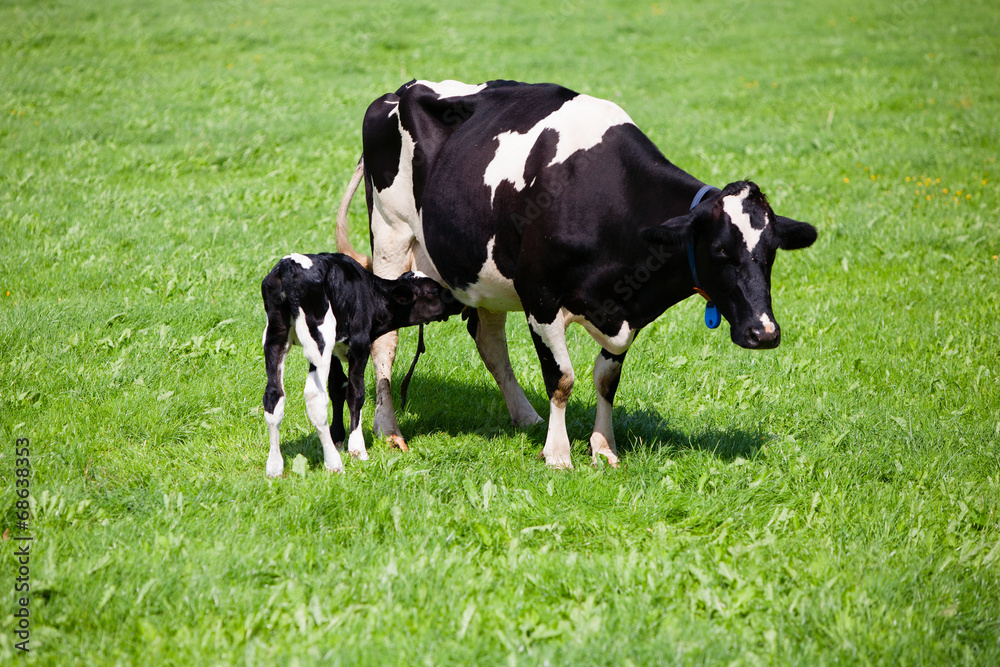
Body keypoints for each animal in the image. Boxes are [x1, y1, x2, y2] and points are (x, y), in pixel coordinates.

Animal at [258, 253, 460, 478]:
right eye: (433, 290)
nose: (458, 301)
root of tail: (289, 265)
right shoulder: (360, 344)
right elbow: (355, 393)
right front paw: (357, 449)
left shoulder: (336, 350)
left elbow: (337, 388)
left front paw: (338, 437)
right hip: (319, 338)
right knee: (315, 397)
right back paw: (333, 463)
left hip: (275, 335)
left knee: (273, 395)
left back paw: (274, 467)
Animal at [332, 79, 816, 470]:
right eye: (719, 251)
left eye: (771, 252)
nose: (764, 332)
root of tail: (399, 90)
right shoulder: (540, 295)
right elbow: (562, 378)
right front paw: (559, 453)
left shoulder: (625, 308)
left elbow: (606, 380)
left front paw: (602, 447)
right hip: (392, 239)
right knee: (387, 342)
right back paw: (388, 430)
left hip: (483, 270)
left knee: (489, 340)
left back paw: (525, 416)